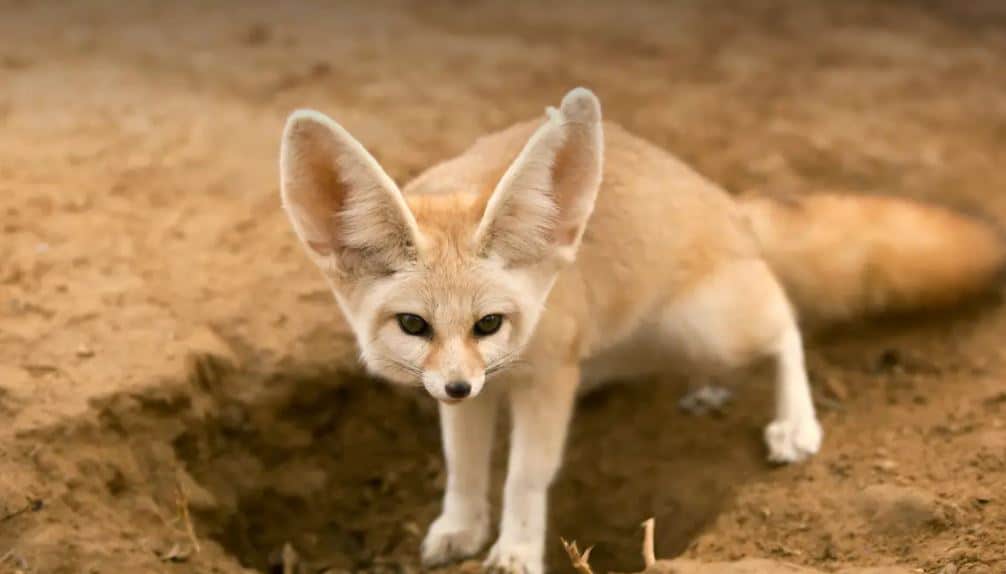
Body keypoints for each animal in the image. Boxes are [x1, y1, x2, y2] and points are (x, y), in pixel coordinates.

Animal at [281, 87, 1006, 570]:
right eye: (413, 324)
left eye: (489, 323)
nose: (457, 386)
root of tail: (724, 201)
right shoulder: (474, 392)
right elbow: (463, 466)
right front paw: (459, 528)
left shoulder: (547, 380)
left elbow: (525, 477)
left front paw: (516, 549)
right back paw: (710, 389)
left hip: (709, 324)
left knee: (784, 324)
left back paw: (795, 422)